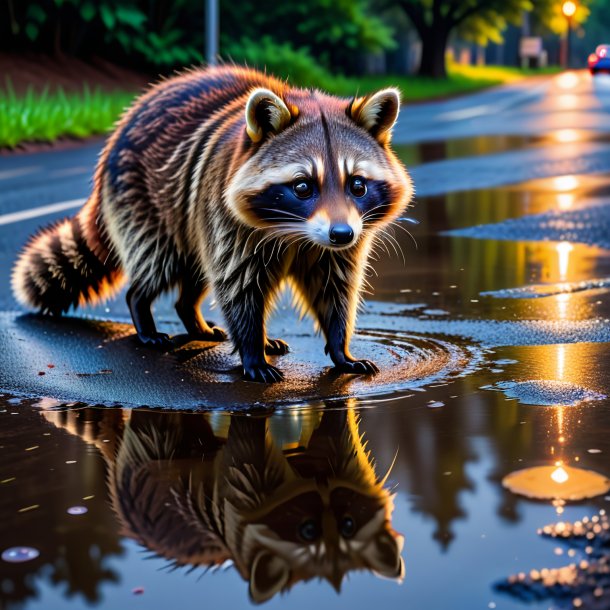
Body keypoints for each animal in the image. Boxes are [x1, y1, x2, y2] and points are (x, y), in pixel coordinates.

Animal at [13, 65, 414, 380]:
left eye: (357, 185)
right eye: (302, 186)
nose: (341, 234)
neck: (295, 233)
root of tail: (115, 137)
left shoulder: (338, 240)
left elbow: (334, 287)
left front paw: (340, 347)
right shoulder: (226, 216)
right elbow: (239, 287)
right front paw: (252, 350)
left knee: (194, 273)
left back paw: (193, 316)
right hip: (148, 202)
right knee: (159, 261)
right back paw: (143, 309)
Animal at [41, 402, 404, 600]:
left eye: (348, 524)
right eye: (308, 530)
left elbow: (337, 442)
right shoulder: (241, 493)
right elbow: (246, 453)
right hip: (142, 467)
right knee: (158, 432)